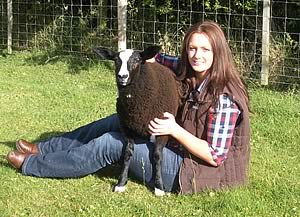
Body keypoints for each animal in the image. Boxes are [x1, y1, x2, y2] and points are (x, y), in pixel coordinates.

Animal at [95, 45, 182, 195]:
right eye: (116, 60)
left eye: (136, 60)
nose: (122, 76)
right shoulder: (126, 128)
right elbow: (127, 153)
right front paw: (121, 183)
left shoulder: (164, 129)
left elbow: (157, 156)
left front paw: (159, 187)